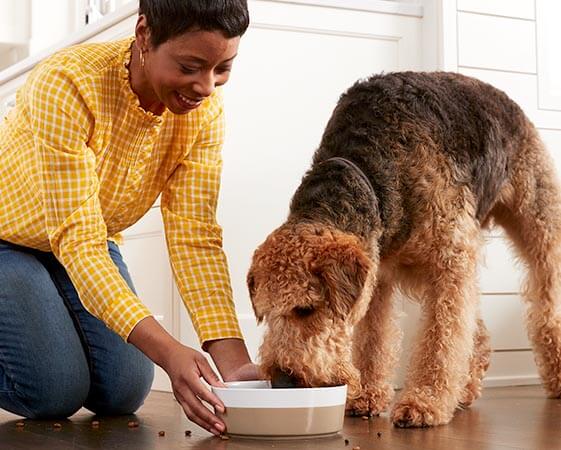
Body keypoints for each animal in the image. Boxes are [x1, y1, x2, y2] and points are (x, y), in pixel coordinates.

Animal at [247, 72, 560, 428]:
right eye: (265, 314)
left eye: (305, 309)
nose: (283, 380)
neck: (369, 169)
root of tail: (507, 100)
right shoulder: (377, 273)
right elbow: (374, 340)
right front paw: (367, 395)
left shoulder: (449, 260)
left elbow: (441, 339)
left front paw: (425, 402)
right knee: (476, 332)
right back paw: (464, 390)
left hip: (535, 225)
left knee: (545, 307)